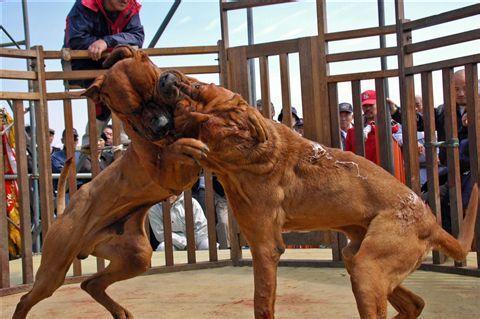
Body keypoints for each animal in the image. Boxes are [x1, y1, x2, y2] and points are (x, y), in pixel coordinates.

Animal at [12, 47, 208, 319]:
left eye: (154, 93)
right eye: (132, 111)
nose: (162, 125)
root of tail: (65, 212)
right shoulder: (168, 175)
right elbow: (174, 150)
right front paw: (186, 144)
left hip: (136, 255)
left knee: (90, 283)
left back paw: (118, 310)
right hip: (53, 271)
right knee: (25, 299)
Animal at [157, 70, 476, 319]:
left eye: (198, 88)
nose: (164, 76)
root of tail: (432, 223)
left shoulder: (265, 247)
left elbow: (262, 302)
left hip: (368, 268)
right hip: (358, 258)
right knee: (414, 303)